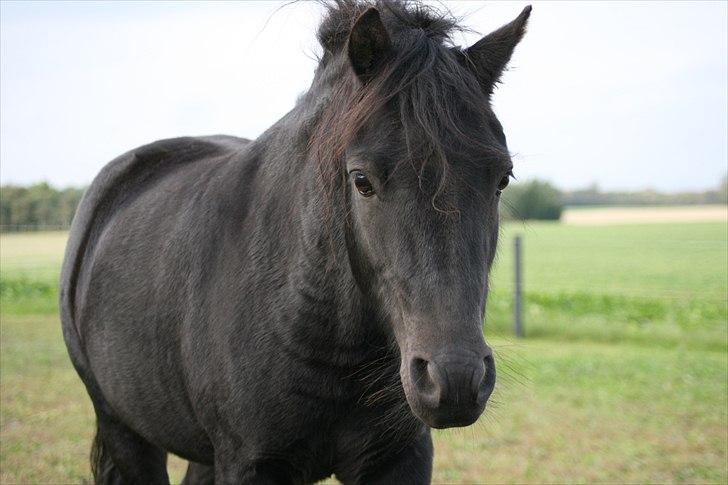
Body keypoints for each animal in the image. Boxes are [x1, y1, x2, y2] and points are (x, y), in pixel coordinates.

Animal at [61, 1, 528, 482]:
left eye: (502, 180)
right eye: (362, 181)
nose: (455, 378)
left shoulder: (402, 457)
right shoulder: (249, 464)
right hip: (123, 430)